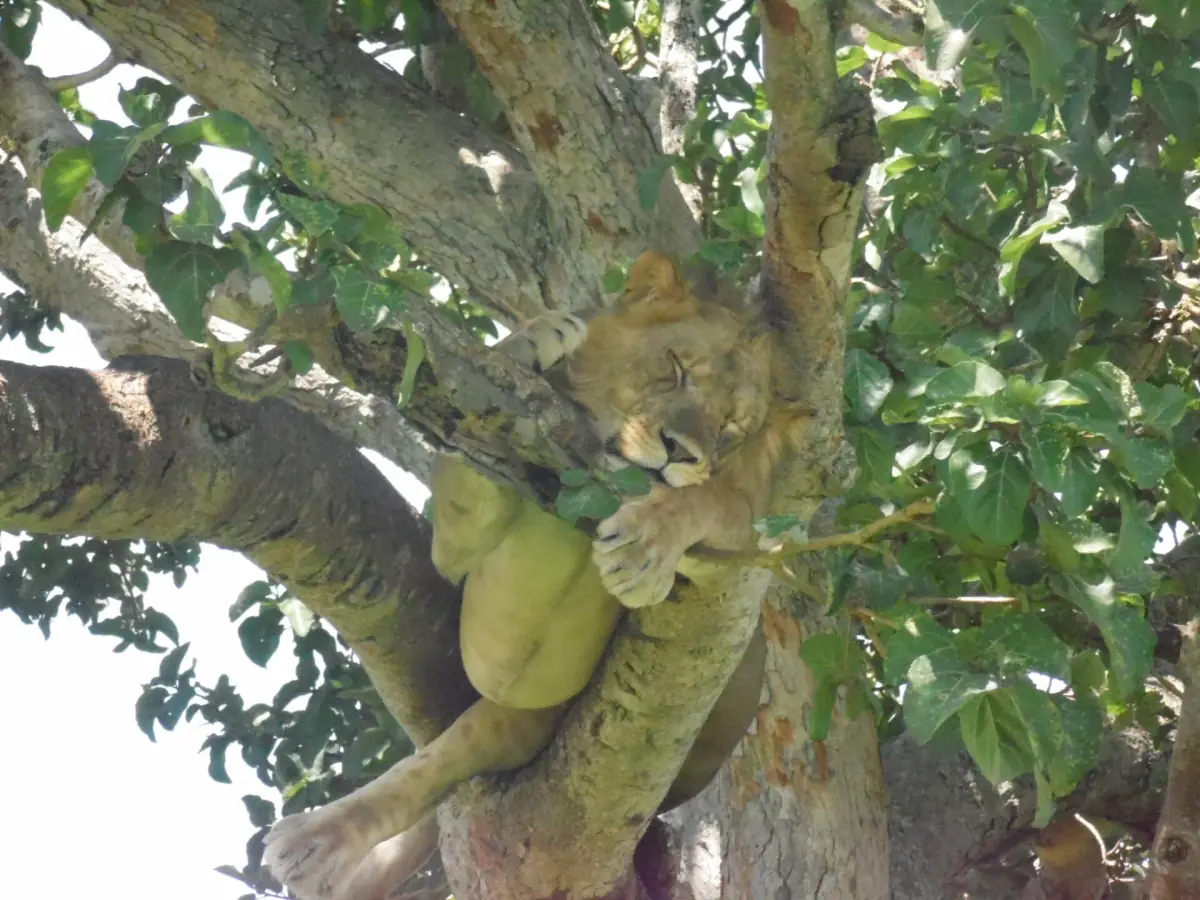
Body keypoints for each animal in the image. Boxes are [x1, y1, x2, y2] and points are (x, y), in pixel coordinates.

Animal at [263, 252, 788, 900]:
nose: (682, 451)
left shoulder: (754, 535)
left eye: (729, 428)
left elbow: (714, 500)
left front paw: (647, 543)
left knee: (432, 770)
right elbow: (466, 456)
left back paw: (315, 842)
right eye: (676, 368)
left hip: (539, 717)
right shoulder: (457, 548)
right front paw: (531, 342)